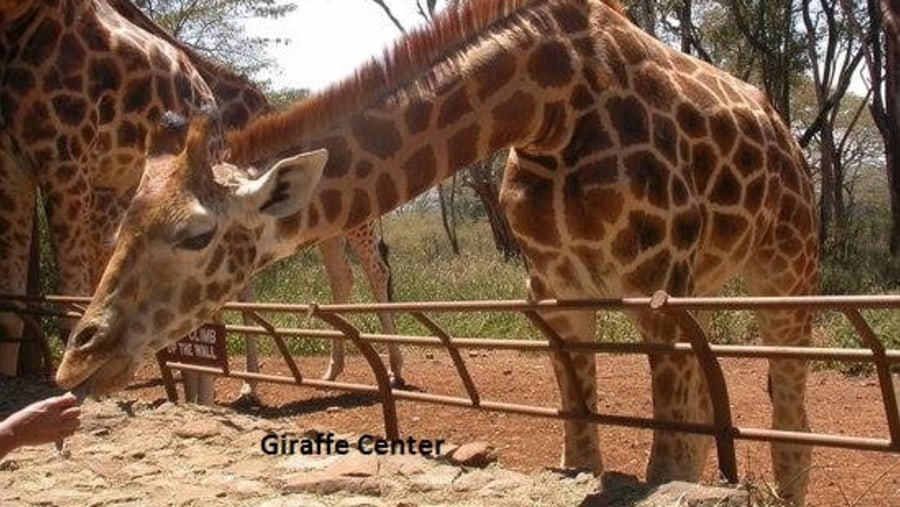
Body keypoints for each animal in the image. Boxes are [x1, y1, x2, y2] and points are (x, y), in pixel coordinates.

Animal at [0, 0, 400, 386]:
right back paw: (333, 370)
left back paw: (394, 369)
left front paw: (243, 383)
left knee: (376, 268)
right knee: (342, 275)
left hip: (357, 219)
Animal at [54, 0, 816, 504]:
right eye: (122, 227)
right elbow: (581, 446)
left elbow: (669, 464)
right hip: (708, 285)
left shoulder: (657, 290)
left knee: (790, 415)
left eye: (195, 235)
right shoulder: (558, 293)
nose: (77, 359)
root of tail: (781, 126)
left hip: (787, 268)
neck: (550, 105)